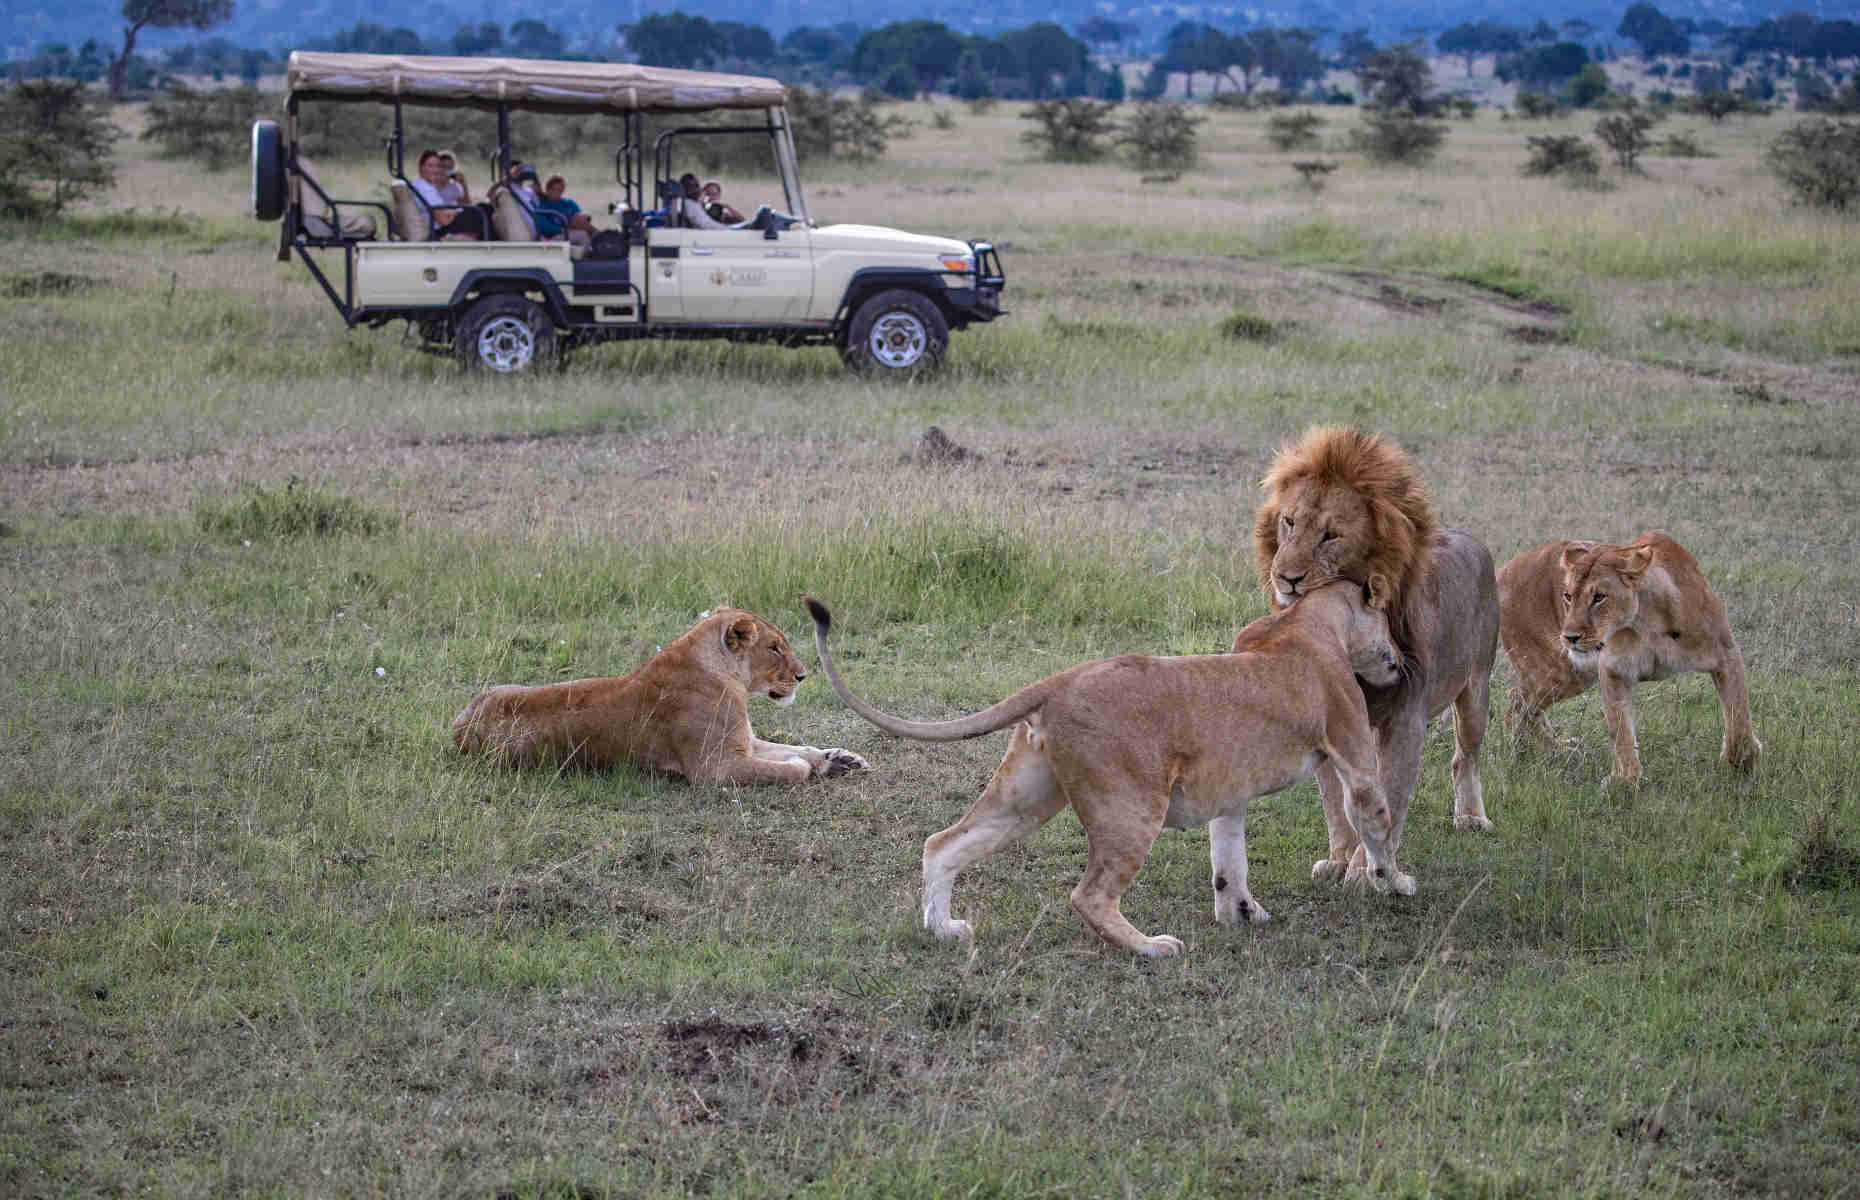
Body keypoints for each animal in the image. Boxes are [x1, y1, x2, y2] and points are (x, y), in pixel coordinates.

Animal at [461, 610, 874, 785]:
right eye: (774, 648)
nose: (802, 676)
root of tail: (460, 723)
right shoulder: (715, 767)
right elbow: (787, 767)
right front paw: (805, 767)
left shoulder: (744, 742)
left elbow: (800, 748)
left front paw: (838, 760)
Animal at [807, 576, 1398, 952]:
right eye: (1389, 624)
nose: (1398, 661)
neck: (1305, 622)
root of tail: (1061, 680)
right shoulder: (1355, 757)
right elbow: (1378, 825)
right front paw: (1395, 885)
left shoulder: (1229, 788)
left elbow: (1229, 861)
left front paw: (1241, 914)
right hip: (1130, 806)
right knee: (1088, 896)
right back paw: (1152, 948)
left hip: (1027, 796)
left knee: (942, 844)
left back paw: (945, 931)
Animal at [1242, 426, 1502, 885]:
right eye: (1289, 522)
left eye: (1330, 535)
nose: (1285, 578)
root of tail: (1471, 538)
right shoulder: (1331, 726)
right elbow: (1336, 801)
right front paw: (1341, 859)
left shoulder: (1405, 721)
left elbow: (1390, 797)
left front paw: (1366, 871)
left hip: (1476, 689)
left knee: (1465, 757)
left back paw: (1472, 817)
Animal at [1495, 528, 1755, 781]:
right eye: (1568, 596)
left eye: (1599, 597)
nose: (1569, 637)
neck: (1649, 620)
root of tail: (1505, 569)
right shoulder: (1614, 670)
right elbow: (1621, 731)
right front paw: (1624, 781)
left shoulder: (1726, 655)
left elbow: (1737, 716)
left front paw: (1743, 762)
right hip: (1560, 673)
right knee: (1516, 701)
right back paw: (1537, 752)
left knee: (1521, 703)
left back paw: (1551, 750)